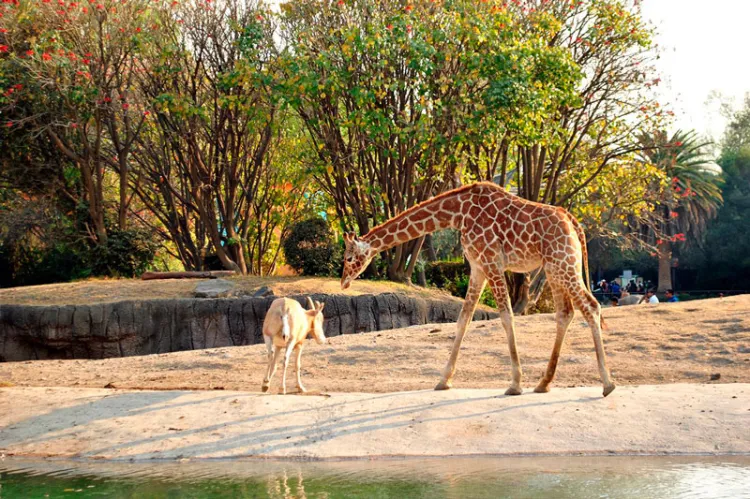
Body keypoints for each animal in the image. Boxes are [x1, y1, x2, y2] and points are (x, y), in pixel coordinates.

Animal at [340, 182, 616, 396]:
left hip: (563, 263)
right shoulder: (477, 267)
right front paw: (443, 380)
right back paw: (543, 384)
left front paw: (515, 384)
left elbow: (506, 316)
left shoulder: (491, 262)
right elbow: (463, 319)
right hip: (554, 267)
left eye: (349, 258)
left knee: (591, 306)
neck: (458, 213)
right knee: (565, 313)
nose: (343, 282)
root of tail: (574, 223)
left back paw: (607, 384)